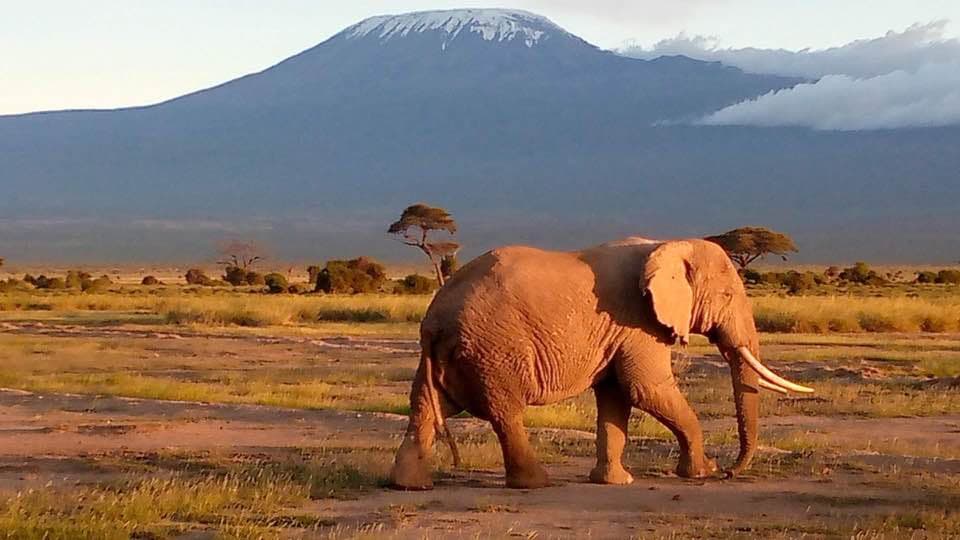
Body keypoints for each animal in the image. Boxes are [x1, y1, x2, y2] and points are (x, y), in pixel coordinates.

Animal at [390, 237, 813, 490]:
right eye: (727, 296)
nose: (728, 470)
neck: (668, 245)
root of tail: (435, 319)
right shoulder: (639, 321)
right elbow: (646, 389)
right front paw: (700, 472)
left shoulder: (620, 333)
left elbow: (615, 400)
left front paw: (615, 482)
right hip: (495, 349)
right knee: (505, 412)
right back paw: (536, 483)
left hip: (454, 354)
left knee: (426, 407)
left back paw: (409, 485)